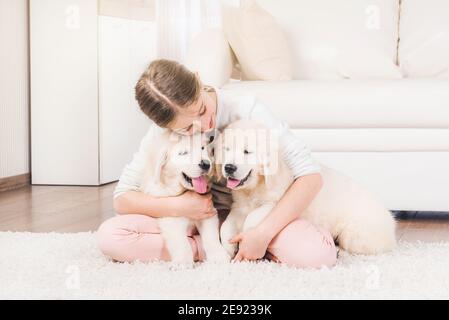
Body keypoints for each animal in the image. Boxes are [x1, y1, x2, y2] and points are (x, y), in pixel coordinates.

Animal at [141, 129, 231, 264]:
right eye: (183, 153)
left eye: (202, 148)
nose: (206, 164)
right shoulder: (170, 217)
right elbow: (182, 243)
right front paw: (182, 262)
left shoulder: (208, 212)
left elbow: (211, 237)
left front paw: (218, 256)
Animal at [217, 120, 396, 258]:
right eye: (227, 149)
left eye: (247, 151)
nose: (229, 167)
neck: (252, 190)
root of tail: (391, 222)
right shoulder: (239, 207)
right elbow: (226, 226)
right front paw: (228, 248)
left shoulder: (274, 204)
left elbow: (253, 217)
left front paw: (245, 239)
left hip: (356, 233)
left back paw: (340, 251)